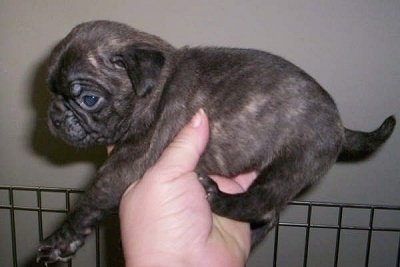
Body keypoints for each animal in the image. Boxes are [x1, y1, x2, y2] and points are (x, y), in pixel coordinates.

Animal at [36, 20, 394, 264]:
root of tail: (340, 126)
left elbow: (91, 200)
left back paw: (218, 198)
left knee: (260, 203)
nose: (55, 117)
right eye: (50, 90)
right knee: (268, 216)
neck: (154, 90)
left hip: (291, 164)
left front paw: (60, 241)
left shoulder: (128, 162)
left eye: (89, 99)